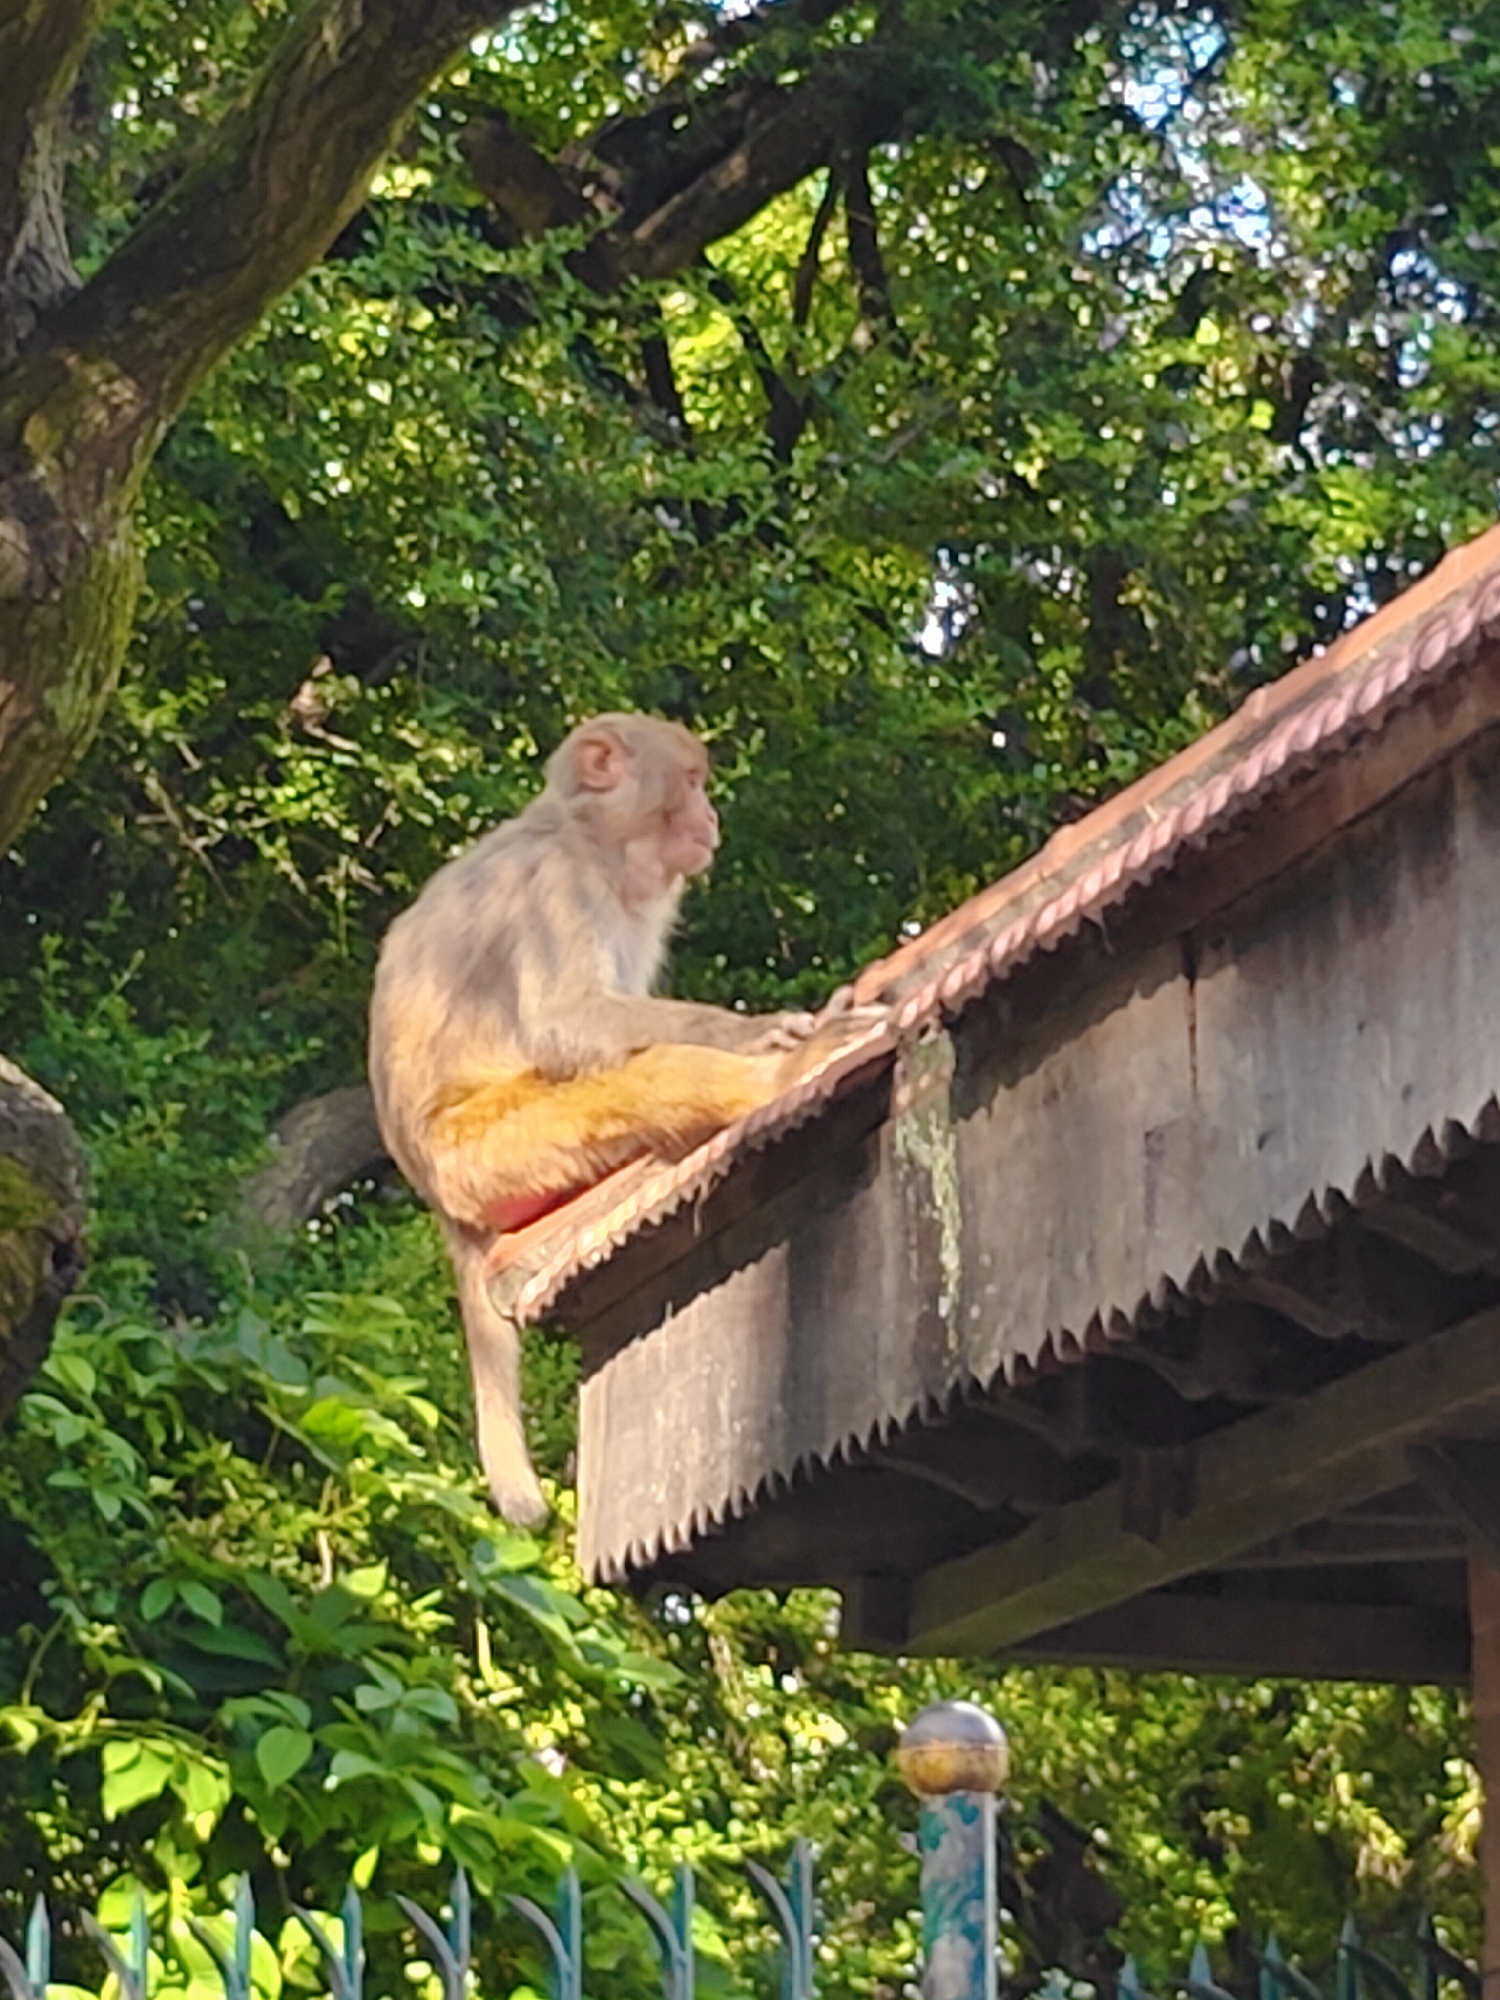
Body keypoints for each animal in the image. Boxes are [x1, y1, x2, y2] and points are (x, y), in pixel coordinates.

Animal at [369, 712, 883, 1527]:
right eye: (693, 781)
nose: (711, 816)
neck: (587, 837)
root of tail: (443, 1206)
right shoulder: (556, 888)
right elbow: (569, 1023)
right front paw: (757, 1034)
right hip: (486, 1151)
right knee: (626, 1083)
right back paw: (776, 1078)